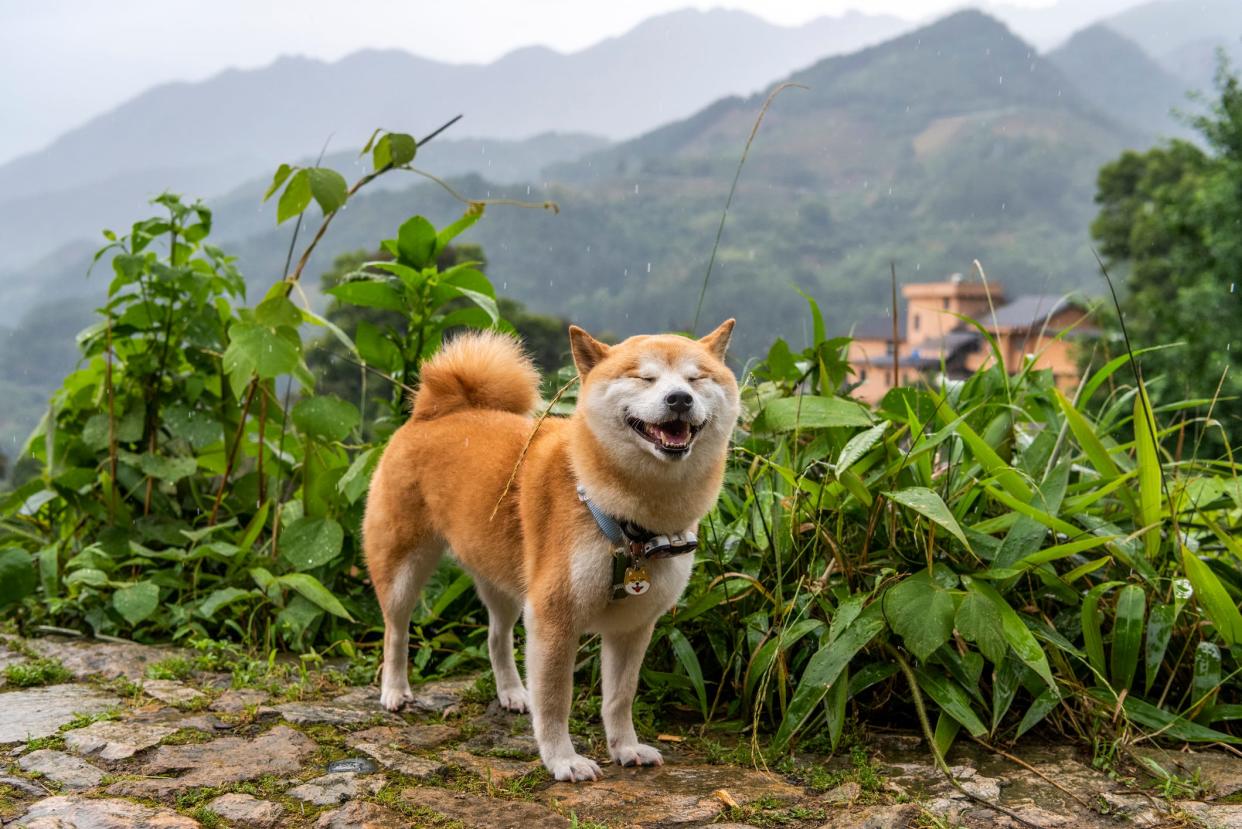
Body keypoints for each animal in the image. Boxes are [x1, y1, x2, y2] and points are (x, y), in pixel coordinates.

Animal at [362, 320, 740, 780]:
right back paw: (395, 690)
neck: (628, 521)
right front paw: (563, 760)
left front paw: (625, 748)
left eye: (695, 378)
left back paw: (511, 692)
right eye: (644, 377)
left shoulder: (632, 626)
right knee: (395, 631)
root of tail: (436, 412)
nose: (679, 399)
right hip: (403, 567)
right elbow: (556, 700)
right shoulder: (554, 616)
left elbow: (620, 697)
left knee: (496, 636)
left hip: (504, 580)